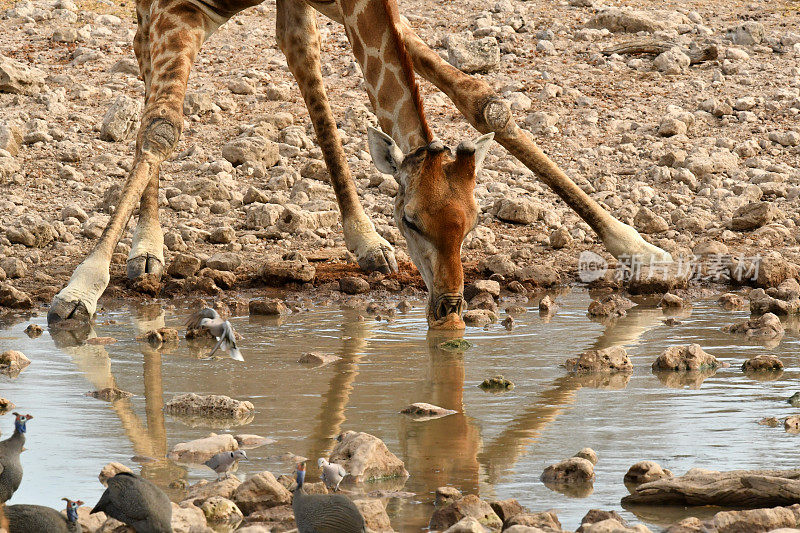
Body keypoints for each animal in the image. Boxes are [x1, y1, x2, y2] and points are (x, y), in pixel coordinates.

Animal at [47, 0, 672, 328]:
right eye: (411, 220)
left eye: (472, 224)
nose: (449, 306)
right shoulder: (180, 10)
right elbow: (160, 128)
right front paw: (81, 287)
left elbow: (482, 100)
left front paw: (637, 246)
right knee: (147, 79)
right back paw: (146, 248)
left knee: (301, 59)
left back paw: (363, 239)